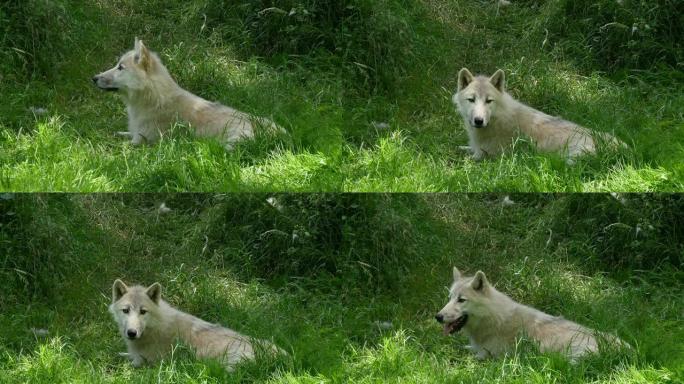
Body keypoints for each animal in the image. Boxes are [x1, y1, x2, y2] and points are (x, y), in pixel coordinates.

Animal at [92, 38, 282, 150]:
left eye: (120, 67)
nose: (93, 78)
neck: (152, 98)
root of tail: (279, 133)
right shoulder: (134, 133)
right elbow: (118, 134)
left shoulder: (140, 141)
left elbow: (119, 143)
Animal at [109, 280, 284, 370]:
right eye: (126, 310)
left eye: (143, 312)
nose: (131, 333)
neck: (155, 328)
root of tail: (283, 356)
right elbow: (120, 355)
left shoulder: (146, 362)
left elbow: (122, 362)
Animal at [436, 268, 628, 362]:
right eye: (450, 298)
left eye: (461, 300)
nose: (437, 317)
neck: (493, 319)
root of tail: (628, 350)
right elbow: (460, 348)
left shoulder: (487, 355)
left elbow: (463, 356)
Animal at [454, 68, 624, 163]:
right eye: (471, 100)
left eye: (489, 101)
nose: (478, 121)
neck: (498, 119)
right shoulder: (474, 148)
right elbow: (460, 148)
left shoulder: (486, 156)